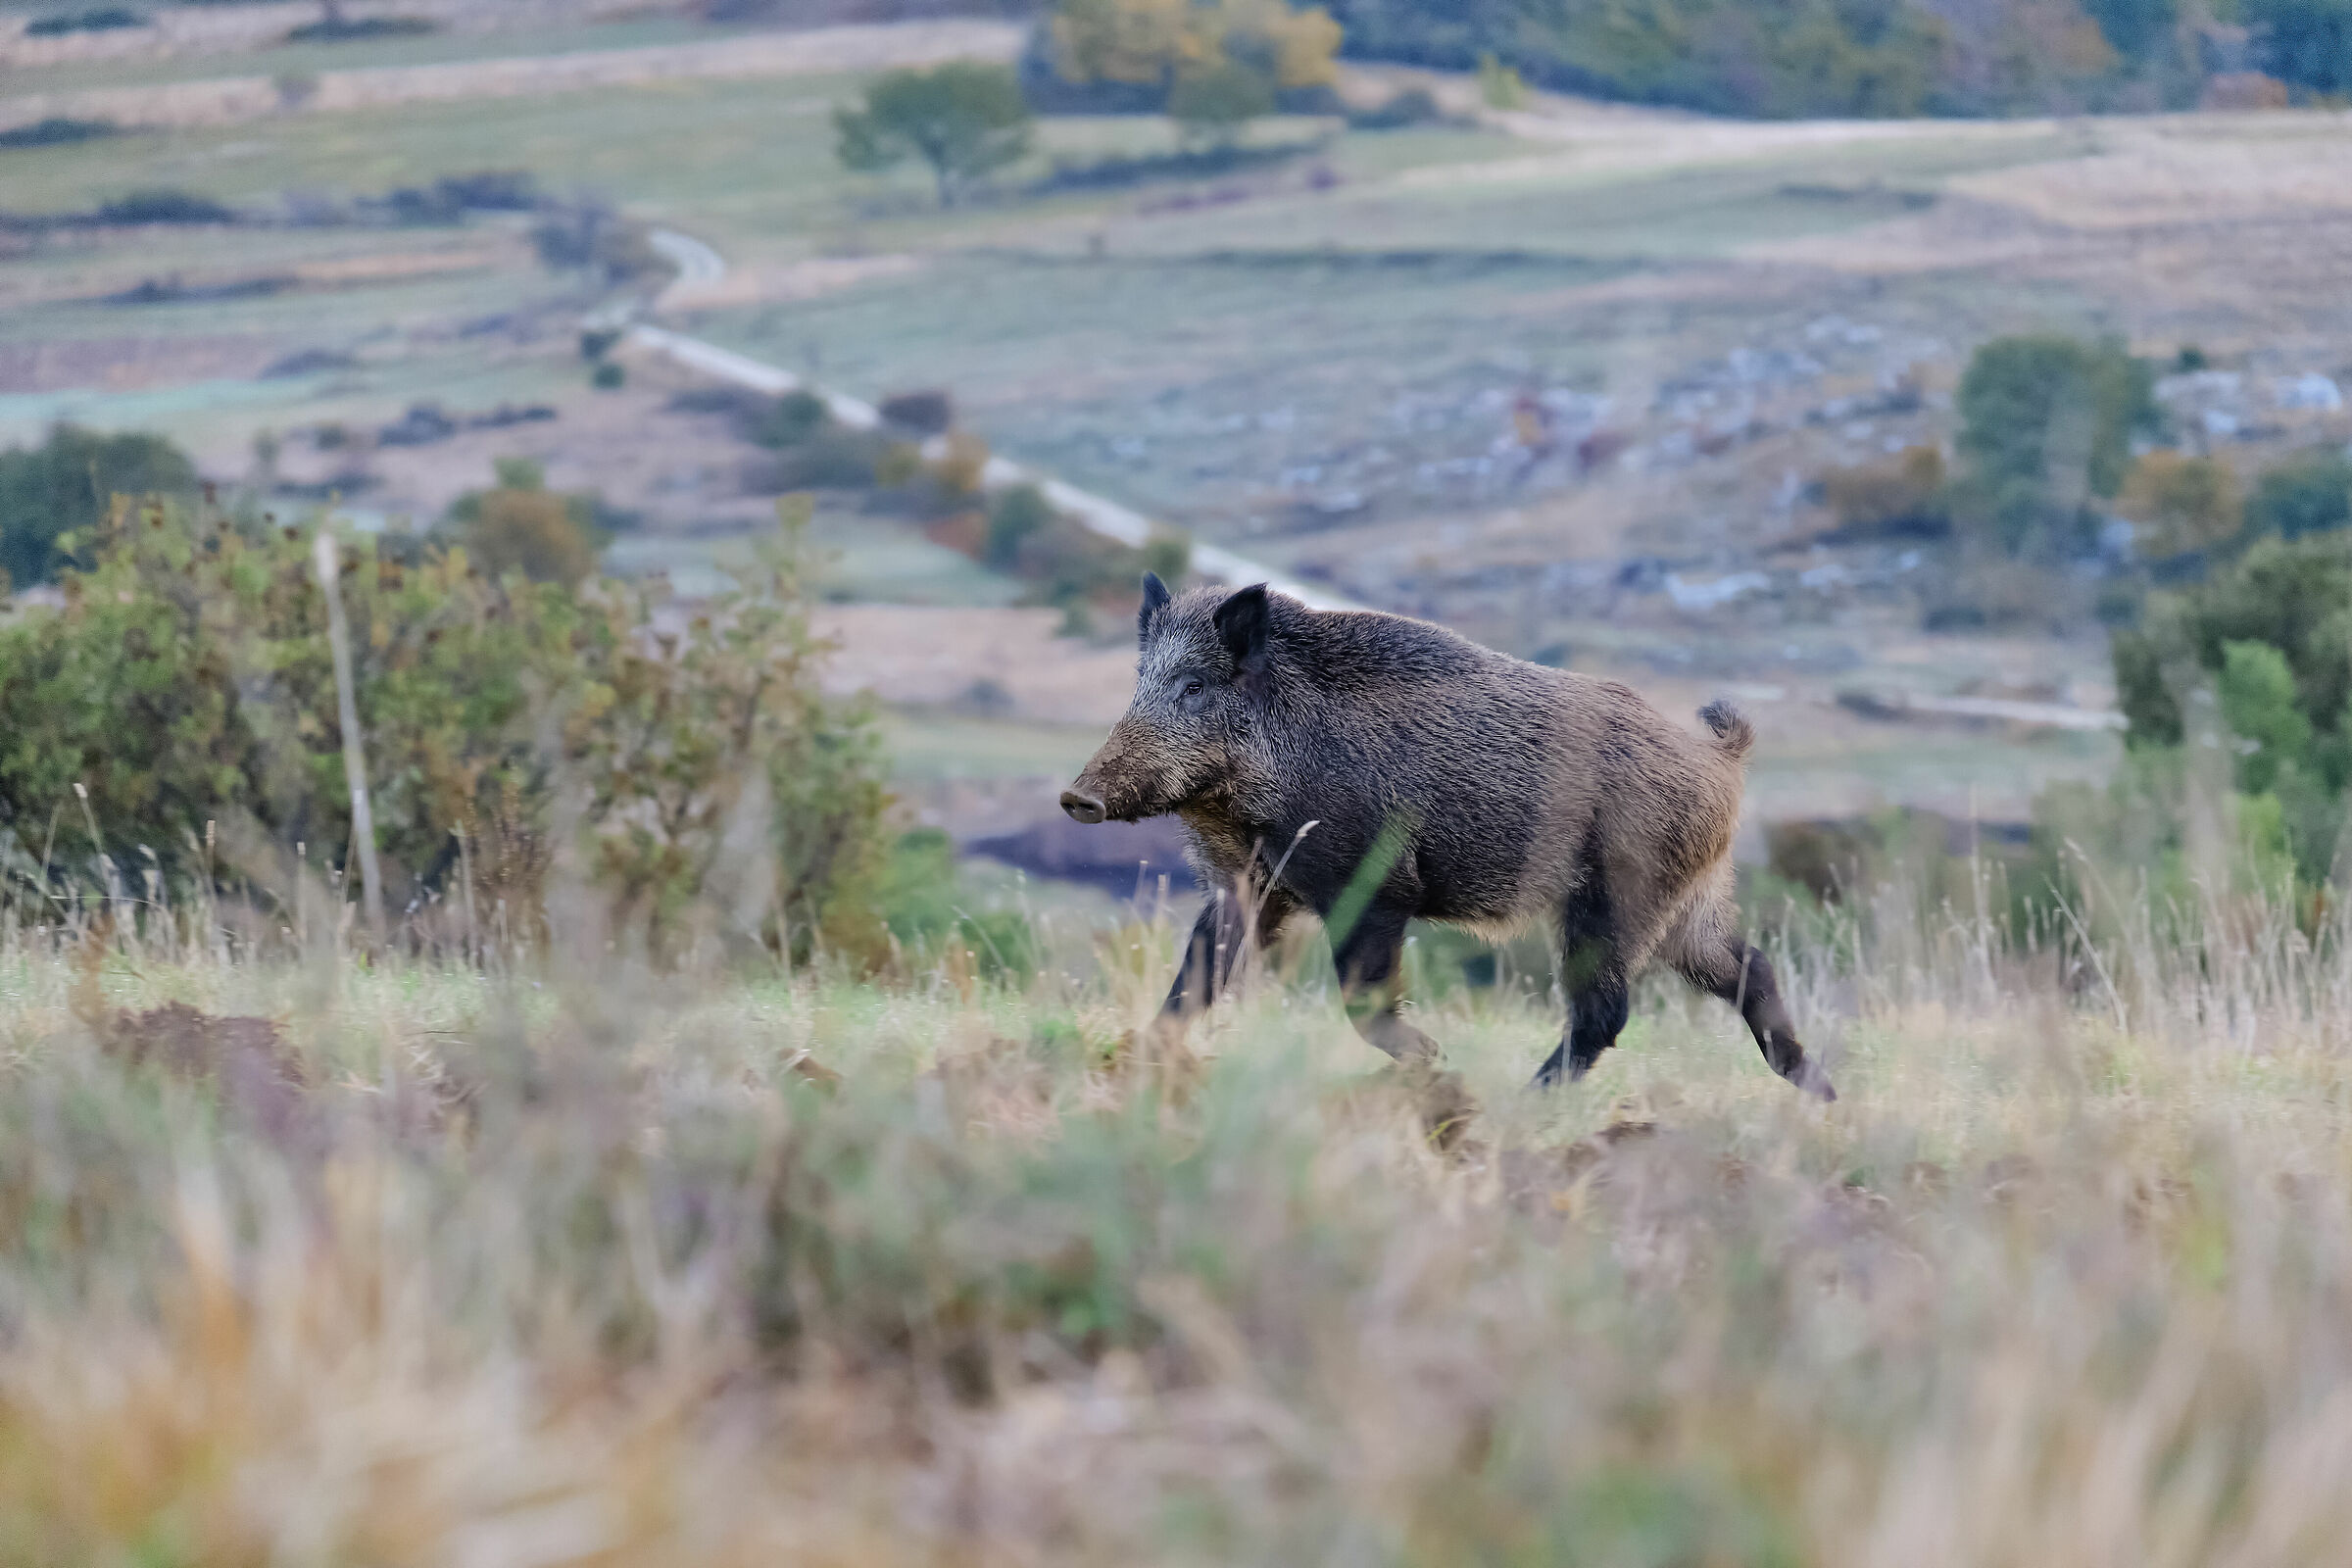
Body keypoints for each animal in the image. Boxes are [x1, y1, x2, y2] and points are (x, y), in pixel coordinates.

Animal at [1059, 575, 1835, 1100]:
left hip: (1615, 900)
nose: (1076, 797)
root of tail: (1722, 760)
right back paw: (1819, 1091)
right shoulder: (1246, 887)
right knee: (1749, 967)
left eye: (1194, 686)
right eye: (1141, 681)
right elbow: (1195, 978)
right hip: (1684, 905)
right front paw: (1142, 1057)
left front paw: (1433, 1058)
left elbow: (1361, 996)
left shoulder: (1373, 883)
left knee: (1606, 1011)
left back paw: (1522, 1102)